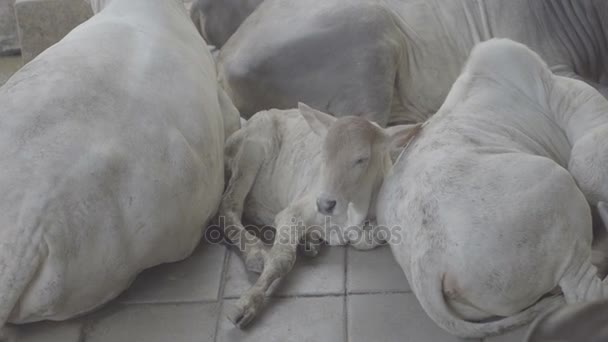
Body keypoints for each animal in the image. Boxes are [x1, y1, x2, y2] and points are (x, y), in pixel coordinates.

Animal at [220, 103, 422, 326]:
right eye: (323, 153)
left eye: (362, 159)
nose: (325, 203)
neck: (352, 210)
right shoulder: (295, 210)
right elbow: (281, 258)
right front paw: (246, 304)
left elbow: (365, 238)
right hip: (251, 149)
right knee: (229, 205)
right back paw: (256, 253)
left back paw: (309, 242)